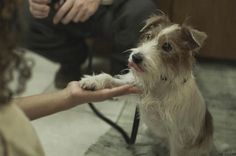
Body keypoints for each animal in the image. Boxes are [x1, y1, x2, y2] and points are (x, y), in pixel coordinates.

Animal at [79, 14, 214, 156]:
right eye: (148, 36)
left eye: (167, 46)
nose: (135, 57)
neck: (160, 82)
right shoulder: (134, 86)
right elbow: (109, 78)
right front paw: (93, 81)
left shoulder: (178, 139)